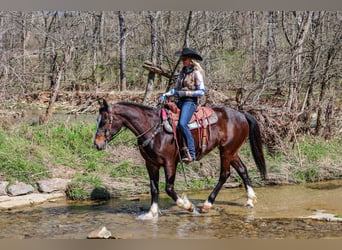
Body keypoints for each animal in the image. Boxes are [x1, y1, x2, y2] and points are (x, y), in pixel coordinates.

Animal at [93, 98, 268, 220]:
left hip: (226, 151)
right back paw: (250, 200)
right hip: (231, 151)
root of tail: (241, 114)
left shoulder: (170, 163)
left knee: (224, 175)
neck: (153, 128)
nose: (96, 144)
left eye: (104, 121)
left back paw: (207, 204)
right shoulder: (151, 164)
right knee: (243, 170)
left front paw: (189, 207)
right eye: (97, 120)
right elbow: (154, 189)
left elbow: (169, 189)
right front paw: (151, 213)